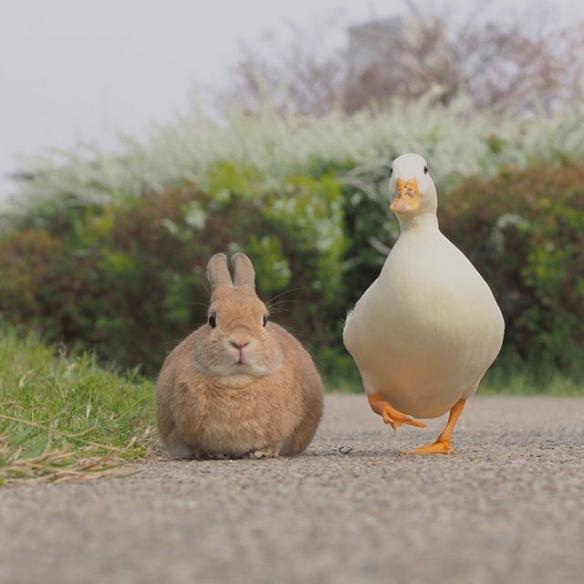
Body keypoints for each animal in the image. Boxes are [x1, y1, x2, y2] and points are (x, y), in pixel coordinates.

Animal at [155, 253, 324, 458]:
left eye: (264, 319)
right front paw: (211, 454)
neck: (237, 381)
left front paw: (260, 453)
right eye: (212, 320)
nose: (240, 342)